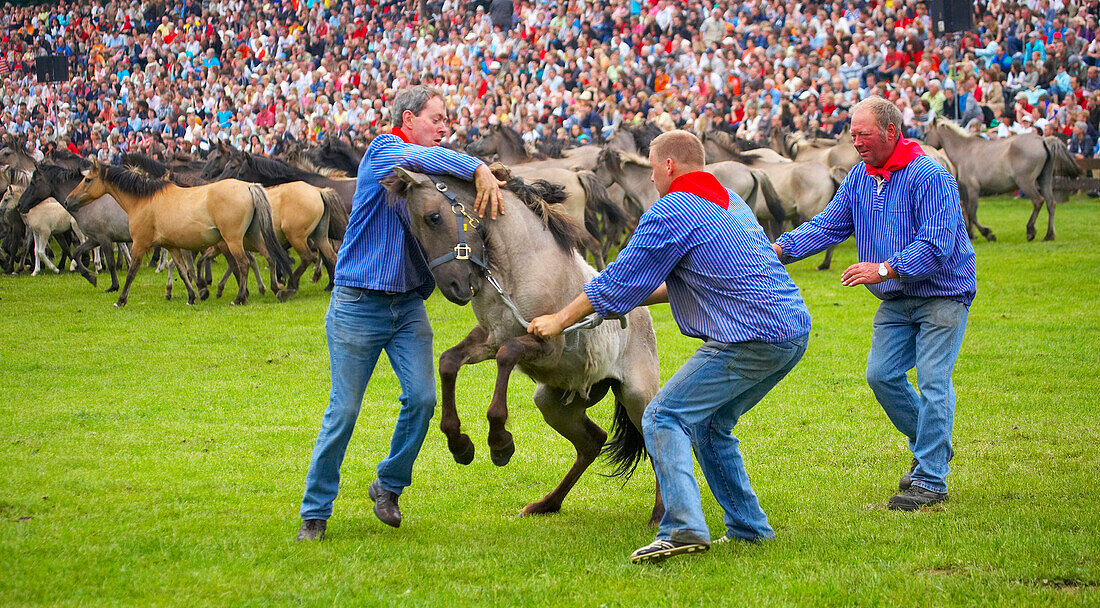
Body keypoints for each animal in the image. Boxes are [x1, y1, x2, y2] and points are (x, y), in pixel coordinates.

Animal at [62, 153, 290, 305]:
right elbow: (182, 269)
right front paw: (192, 296)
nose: (68, 201)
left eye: (87, 179)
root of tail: (248, 186)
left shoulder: (139, 243)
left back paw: (240, 297)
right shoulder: (171, 246)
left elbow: (132, 271)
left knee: (243, 264)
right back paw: (275, 289)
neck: (143, 200)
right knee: (268, 257)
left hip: (232, 240)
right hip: (252, 236)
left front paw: (120, 299)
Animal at [385, 164, 660, 521]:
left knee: (655, 442)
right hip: (555, 403)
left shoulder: (544, 345)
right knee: (592, 442)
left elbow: (508, 355)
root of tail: (641, 312)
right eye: (412, 228)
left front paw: (500, 442)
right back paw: (546, 504)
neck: (519, 267)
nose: (454, 288)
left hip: (636, 397)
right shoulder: (488, 337)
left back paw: (660, 513)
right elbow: (448, 362)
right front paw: (460, 444)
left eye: (433, 217)